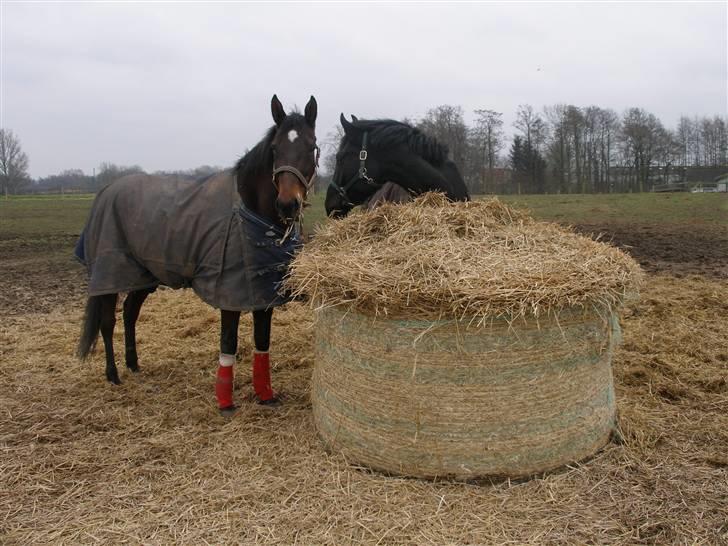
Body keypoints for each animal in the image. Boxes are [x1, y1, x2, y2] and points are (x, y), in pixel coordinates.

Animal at [77, 95, 318, 414]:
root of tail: (107, 189)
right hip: (111, 274)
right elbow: (228, 342)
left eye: (311, 146)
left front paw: (265, 394)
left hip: (144, 274)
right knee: (108, 321)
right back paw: (113, 374)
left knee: (130, 313)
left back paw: (133, 365)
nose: (288, 204)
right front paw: (225, 401)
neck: (248, 209)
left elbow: (262, 340)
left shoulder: (261, 294)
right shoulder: (229, 292)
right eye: (276, 148)